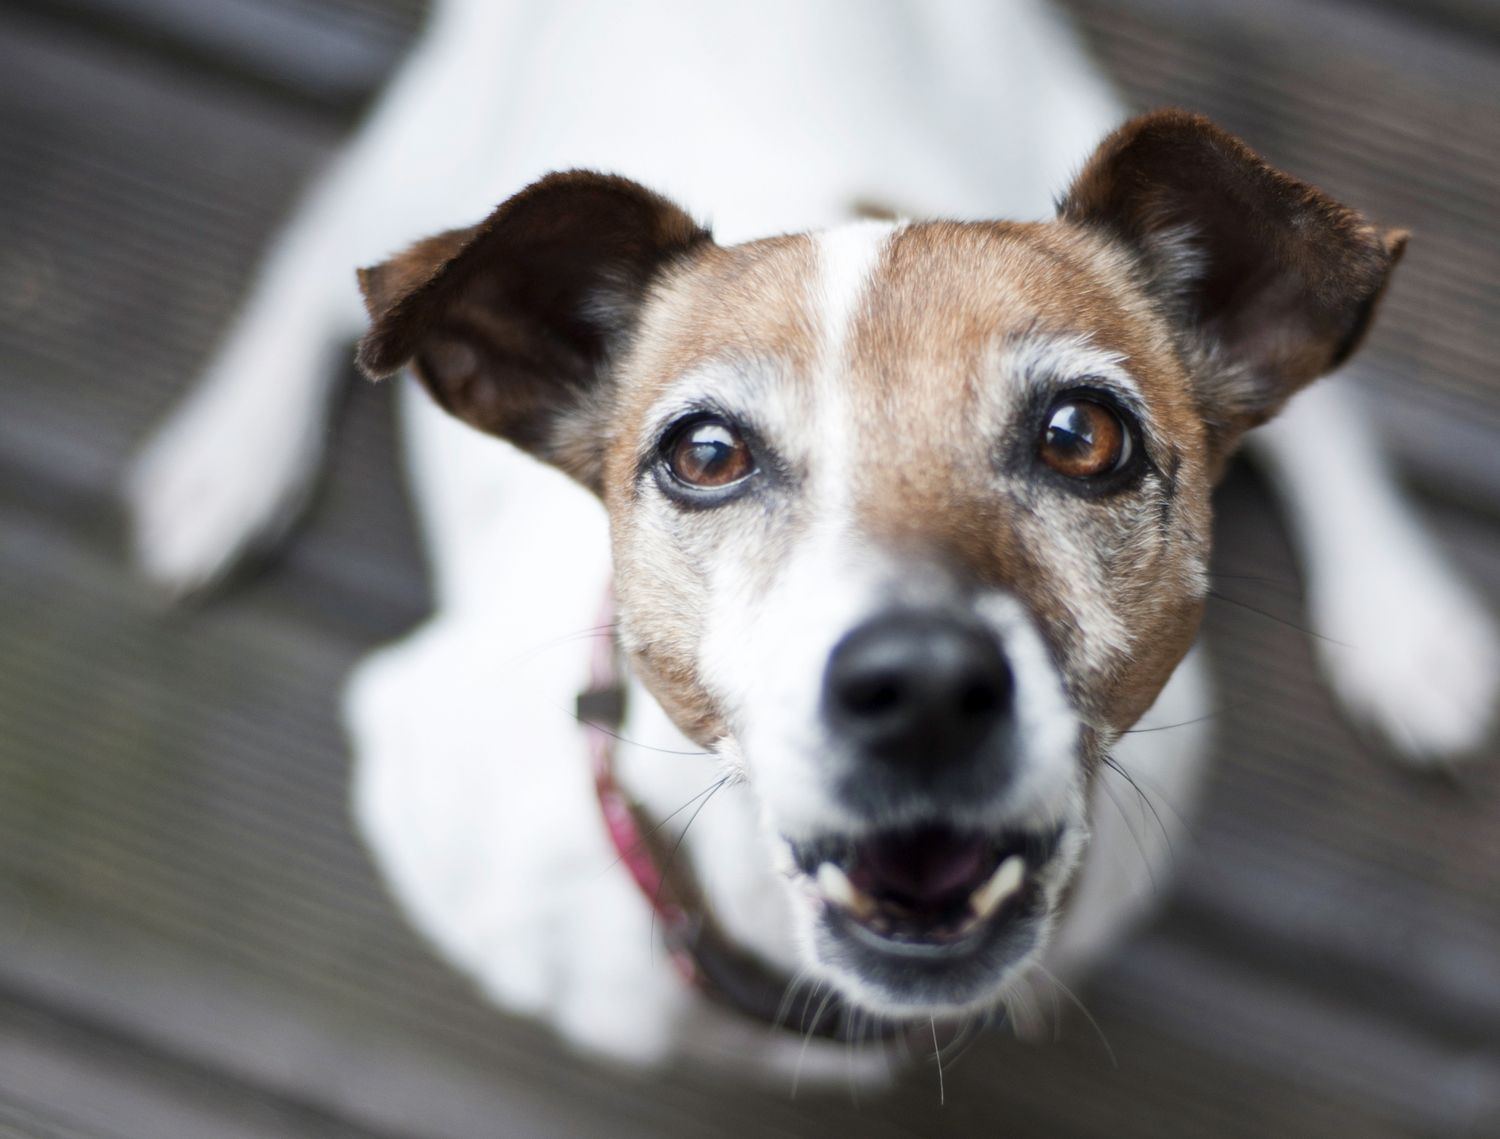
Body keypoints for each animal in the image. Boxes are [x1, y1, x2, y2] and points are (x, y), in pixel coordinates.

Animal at [126, 0, 1488, 1080]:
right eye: (705, 454)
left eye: (1082, 433)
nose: (921, 686)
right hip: (414, 157)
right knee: (310, 255)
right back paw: (223, 462)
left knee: (1331, 423)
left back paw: (1408, 629)